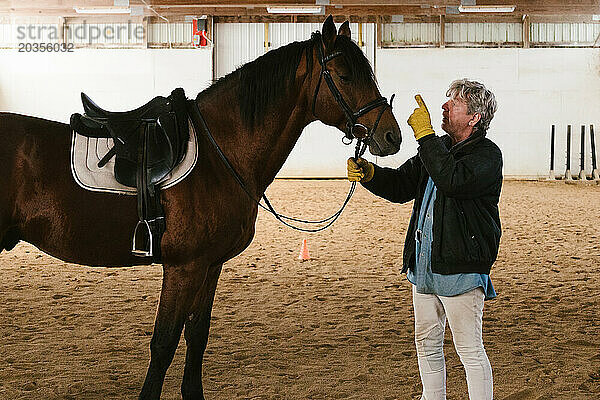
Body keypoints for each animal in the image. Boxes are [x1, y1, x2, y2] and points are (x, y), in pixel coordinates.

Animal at [1, 18, 404, 400]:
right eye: (345, 75)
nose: (392, 136)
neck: (220, 152)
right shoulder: (184, 267)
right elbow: (164, 342)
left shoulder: (210, 265)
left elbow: (197, 334)